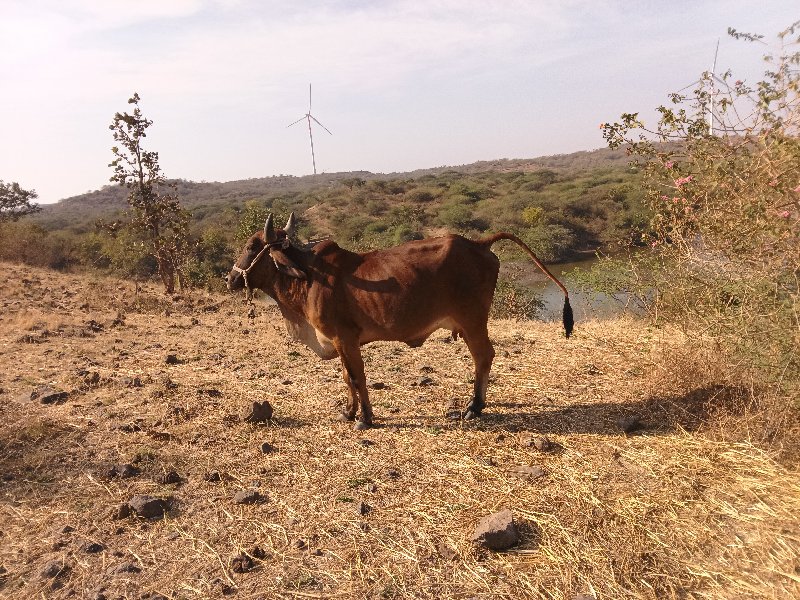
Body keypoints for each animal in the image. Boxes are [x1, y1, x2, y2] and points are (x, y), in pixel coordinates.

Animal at [228, 213, 572, 428]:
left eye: (250, 247)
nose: (229, 278)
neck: (309, 278)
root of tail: (478, 243)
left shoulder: (345, 338)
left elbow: (357, 378)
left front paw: (365, 419)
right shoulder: (340, 342)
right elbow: (346, 377)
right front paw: (348, 412)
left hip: (473, 321)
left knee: (484, 356)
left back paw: (474, 407)